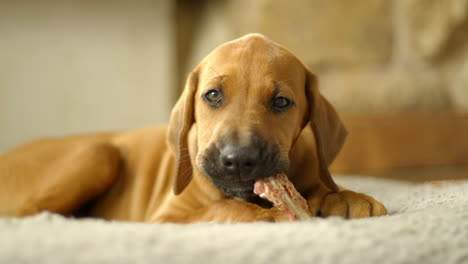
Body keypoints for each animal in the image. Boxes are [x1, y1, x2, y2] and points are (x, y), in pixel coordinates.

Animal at [0, 33, 388, 223]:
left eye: (281, 102)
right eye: (212, 95)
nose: (238, 160)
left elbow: (323, 188)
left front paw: (348, 197)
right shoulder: (167, 219)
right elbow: (225, 209)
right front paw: (273, 215)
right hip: (100, 153)